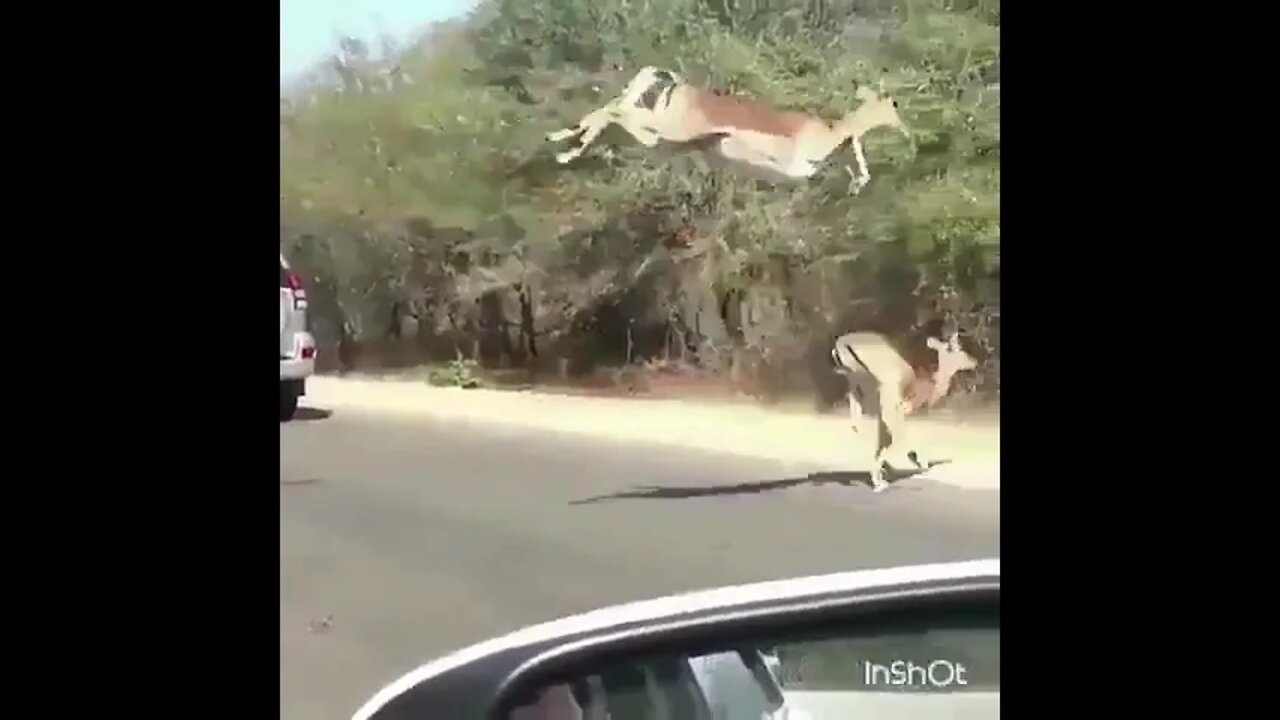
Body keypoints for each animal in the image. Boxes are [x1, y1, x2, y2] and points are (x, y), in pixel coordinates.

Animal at [542, 64, 911, 192]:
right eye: (894, 104)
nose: (907, 131)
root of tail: (676, 85)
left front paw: (857, 183)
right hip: (660, 133)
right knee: (613, 112)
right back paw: (561, 148)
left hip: (655, 138)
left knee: (608, 112)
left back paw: (561, 146)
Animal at [834, 330, 972, 486]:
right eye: (959, 350)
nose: (974, 361)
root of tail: (842, 342)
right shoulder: (907, 409)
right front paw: (920, 463)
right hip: (888, 394)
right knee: (895, 432)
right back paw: (879, 481)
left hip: (857, 395)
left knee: (857, 426)